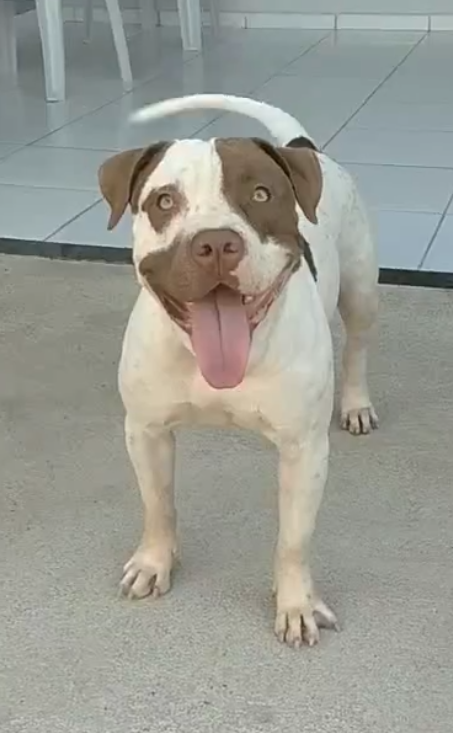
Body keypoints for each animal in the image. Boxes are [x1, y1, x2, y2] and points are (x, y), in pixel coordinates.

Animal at [98, 94, 379, 648]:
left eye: (261, 193)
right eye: (165, 201)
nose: (215, 243)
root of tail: (303, 147)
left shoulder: (304, 451)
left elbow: (293, 539)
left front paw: (296, 604)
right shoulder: (145, 431)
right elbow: (157, 504)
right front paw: (154, 563)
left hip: (361, 291)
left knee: (357, 347)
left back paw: (357, 403)